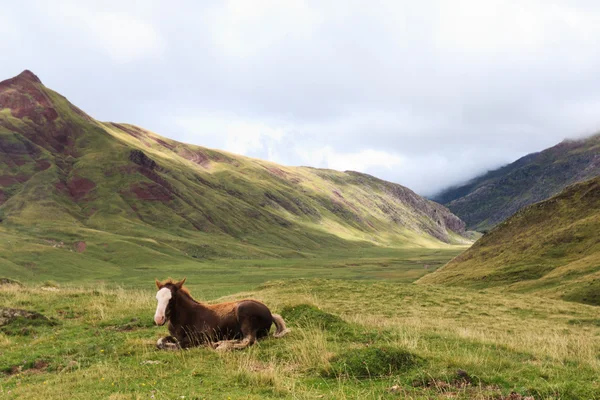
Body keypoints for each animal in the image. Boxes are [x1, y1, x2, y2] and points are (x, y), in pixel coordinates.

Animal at [152, 278, 288, 350]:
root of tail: (270, 313)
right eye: (157, 298)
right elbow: (160, 341)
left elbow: (179, 345)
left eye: (172, 298)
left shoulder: (204, 335)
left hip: (244, 312)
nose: (159, 319)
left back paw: (221, 346)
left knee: (248, 340)